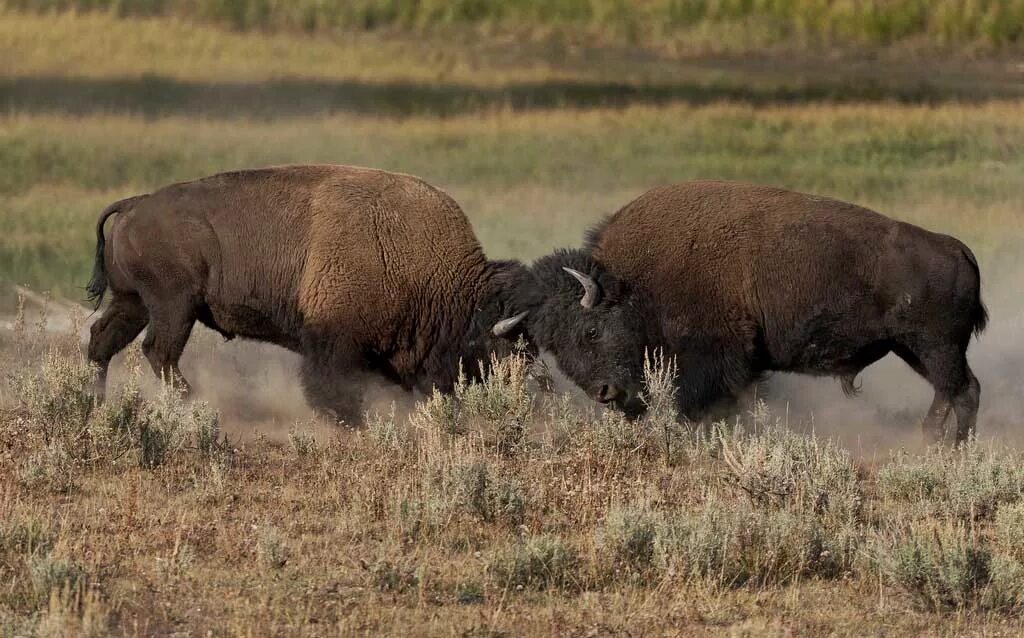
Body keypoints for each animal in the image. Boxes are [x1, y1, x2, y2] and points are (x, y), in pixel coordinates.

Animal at [84, 164, 532, 423]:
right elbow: (332, 389)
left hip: (135, 303)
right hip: (174, 305)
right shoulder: (334, 341)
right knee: (158, 351)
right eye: (501, 348)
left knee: (103, 341)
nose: (520, 389)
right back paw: (195, 402)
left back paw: (96, 402)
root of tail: (136, 204)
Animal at [524, 180, 987, 444]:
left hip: (934, 347)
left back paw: (941, 445)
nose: (604, 393)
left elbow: (705, 405)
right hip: (914, 349)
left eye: (590, 331)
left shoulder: (716, 360)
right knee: (960, 390)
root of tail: (957, 249)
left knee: (958, 390)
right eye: (555, 349)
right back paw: (944, 444)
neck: (634, 283)